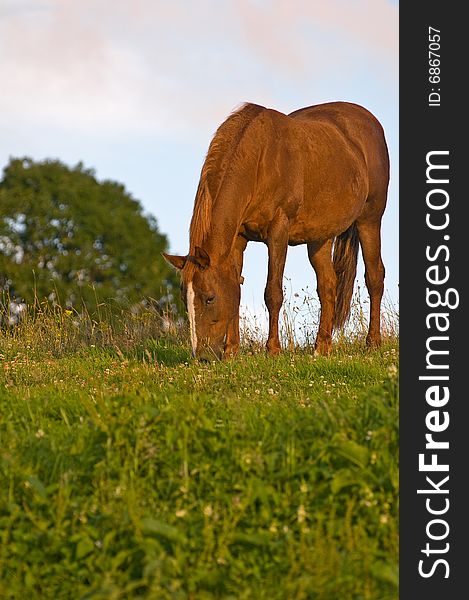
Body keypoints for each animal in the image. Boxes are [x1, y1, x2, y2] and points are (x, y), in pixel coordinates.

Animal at [165, 101, 388, 358]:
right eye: (184, 297)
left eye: (209, 298)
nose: (201, 356)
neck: (259, 160)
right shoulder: (238, 239)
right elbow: (236, 289)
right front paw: (232, 351)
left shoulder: (278, 233)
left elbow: (272, 292)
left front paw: (272, 349)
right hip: (320, 237)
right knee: (328, 285)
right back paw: (321, 347)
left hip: (370, 220)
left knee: (375, 276)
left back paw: (373, 342)